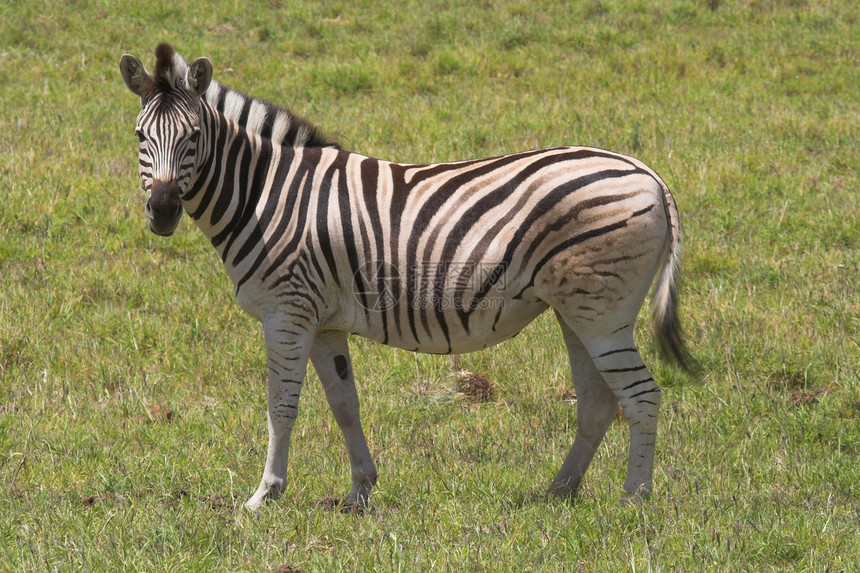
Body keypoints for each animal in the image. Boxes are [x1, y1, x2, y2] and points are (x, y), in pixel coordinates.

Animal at [121, 43, 696, 510]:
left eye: (194, 136)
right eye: (140, 136)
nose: (163, 212)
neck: (264, 195)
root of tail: (649, 174)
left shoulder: (287, 313)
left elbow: (281, 406)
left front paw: (265, 495)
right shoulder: (323, 321)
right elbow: (344, 405)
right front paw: (359, 490)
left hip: (603, 314)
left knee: (642, 396)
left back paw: (634, 499)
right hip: (576, 312)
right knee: (599, 403)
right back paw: (557, 492)